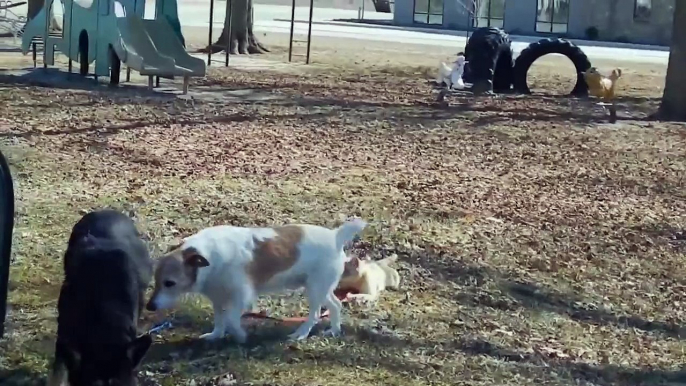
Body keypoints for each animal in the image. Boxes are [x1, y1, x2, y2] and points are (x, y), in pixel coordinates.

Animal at [147, 219, 368, 342]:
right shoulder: (218, 298)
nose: (149, 307)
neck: (209, 256)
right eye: (155, 281)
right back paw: (334, 330)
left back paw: (301, 334)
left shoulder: (240, 296)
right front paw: (216, 336)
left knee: (314, 315)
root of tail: (335, 236)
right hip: (321, 289)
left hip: (314, 290)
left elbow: (231, 319)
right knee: (336, 305)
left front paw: (240, 336)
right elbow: (220, 319)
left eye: (169, 283)